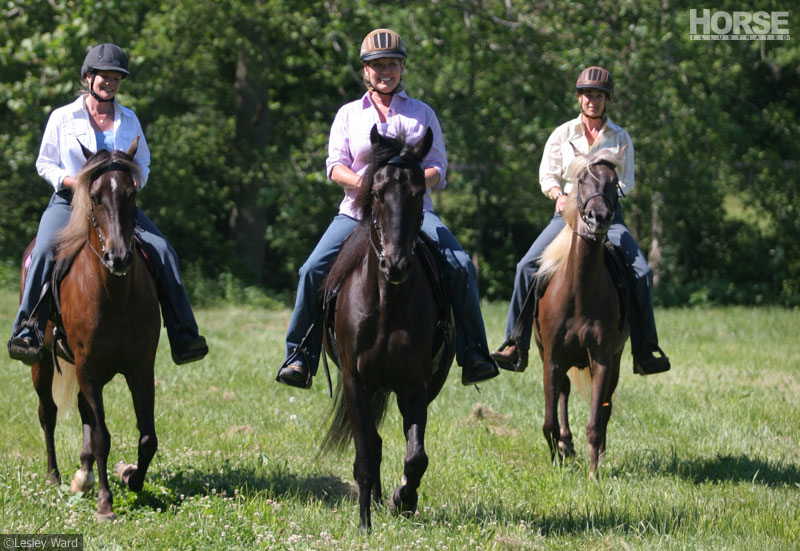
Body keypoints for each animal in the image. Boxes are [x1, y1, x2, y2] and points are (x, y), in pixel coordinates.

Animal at [22, 139, 161, 520]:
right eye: (95, 196)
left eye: (132, 193)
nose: (118, 257)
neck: (113, 295)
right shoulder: (87, 368)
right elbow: (102, 437)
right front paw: (105, 503)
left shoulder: (140, 368)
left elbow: (147, 437)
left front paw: (131, 477)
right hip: (43, 363)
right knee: (48, 414)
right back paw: (54, 476)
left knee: (84, 413)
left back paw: (81, 476)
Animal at [320, 125, 456, 532]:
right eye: (378, 193)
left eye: (418, 193)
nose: (395, 265)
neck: (386, 303)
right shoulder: (354, 381)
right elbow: (365, 455)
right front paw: (365, 523)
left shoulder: (414, 384)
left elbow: (416, 456)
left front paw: (403, 500)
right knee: (373, 444)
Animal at [532, 147, 632, 478]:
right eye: (582, 180)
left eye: (614, 182)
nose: (598, 217)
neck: (578, 293)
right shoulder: (551, 358)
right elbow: (549, 420)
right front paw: (556, 461)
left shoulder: (602, 358)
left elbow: (596, 421)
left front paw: (593, 472)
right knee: (563, 393)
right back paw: (566, 445)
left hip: (615, 359)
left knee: (606, 406)